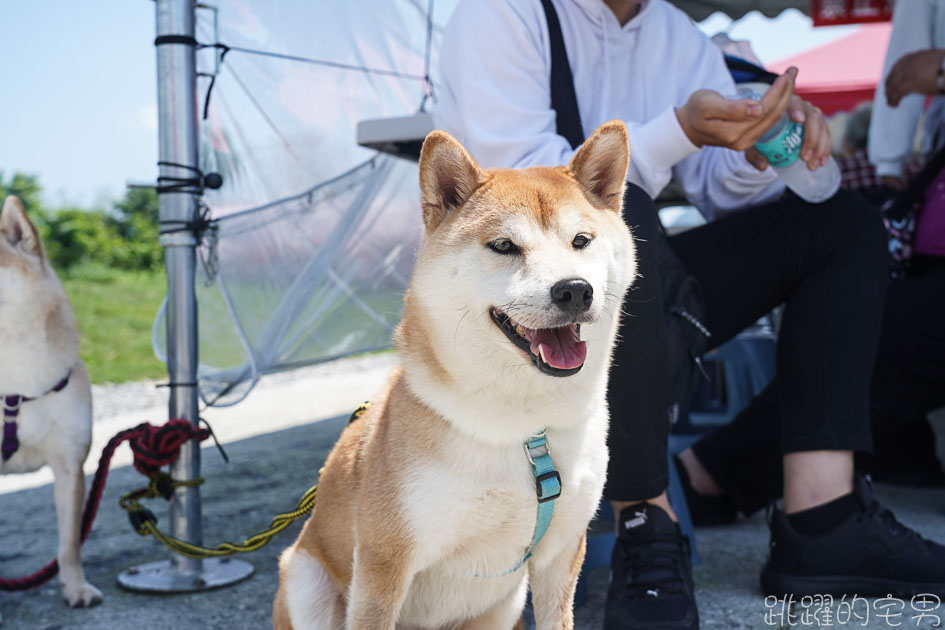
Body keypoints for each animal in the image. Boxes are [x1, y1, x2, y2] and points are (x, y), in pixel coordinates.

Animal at [272, 119, 636, 630]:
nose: (574, 290)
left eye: (581, 241)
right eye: (504, 246)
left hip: (504, 606)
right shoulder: (384, 559)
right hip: (307, 579)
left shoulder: (560, 553)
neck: (527, 430)